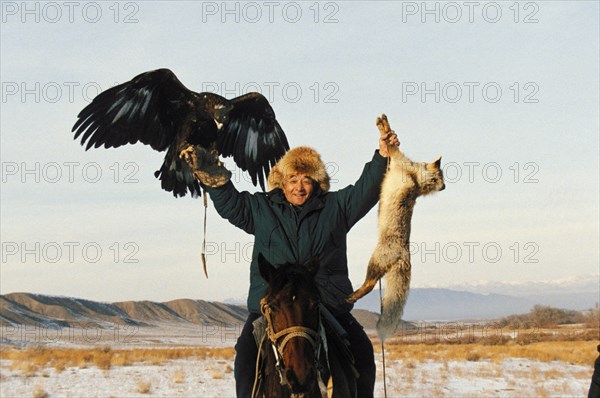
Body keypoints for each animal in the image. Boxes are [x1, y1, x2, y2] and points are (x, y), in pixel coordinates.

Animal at [346, 113, 446, 340]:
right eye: (441, 178)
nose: (444, 187)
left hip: (374, 262)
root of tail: (404, 254)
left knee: (369, 284)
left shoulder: (397, 158)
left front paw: (383, 125)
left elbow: (389, 140)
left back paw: (353, 296)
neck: (416, 178)